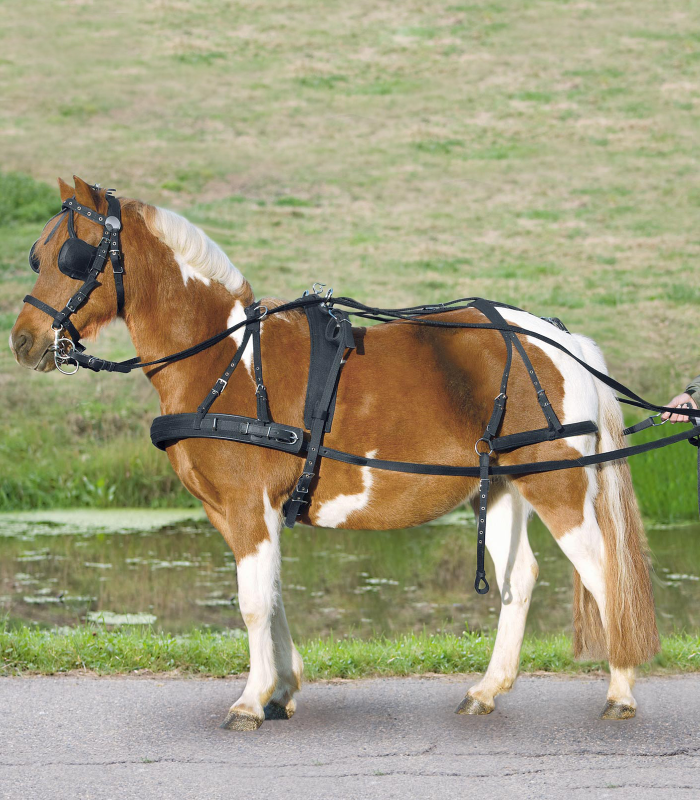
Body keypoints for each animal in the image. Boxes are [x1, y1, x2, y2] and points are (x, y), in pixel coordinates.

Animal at [10, 176, 659, 730]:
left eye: (73, 256)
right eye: (38, 255)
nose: (23, 341)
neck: (224, 359)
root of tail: (563, 340)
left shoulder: (247, 505)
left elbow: (252, 602)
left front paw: (250, 699)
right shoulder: (243, 512)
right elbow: (271, 594)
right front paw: (282, 689)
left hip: (558, 486)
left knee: (603, 571)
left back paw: (621, 689)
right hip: (503, 484)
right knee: (518, 579)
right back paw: (486, 690)